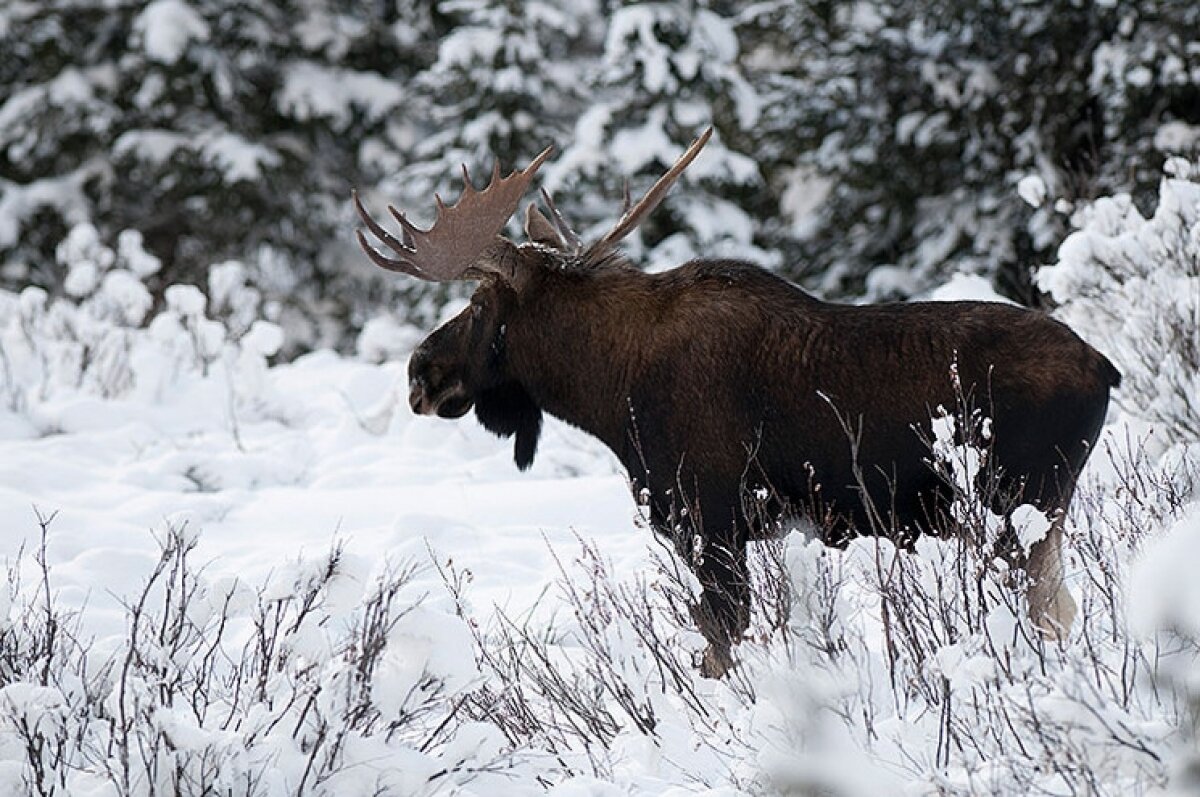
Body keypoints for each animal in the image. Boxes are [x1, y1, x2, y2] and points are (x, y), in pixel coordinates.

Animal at [350, 130, 1118, 676]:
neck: (609, 391)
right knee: (1065, 609)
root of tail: (1106, 369)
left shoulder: (709, 517)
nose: (420, 370)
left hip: (1014, 507)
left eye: (481, 304)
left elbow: (719, 643)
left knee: (1045, 613)